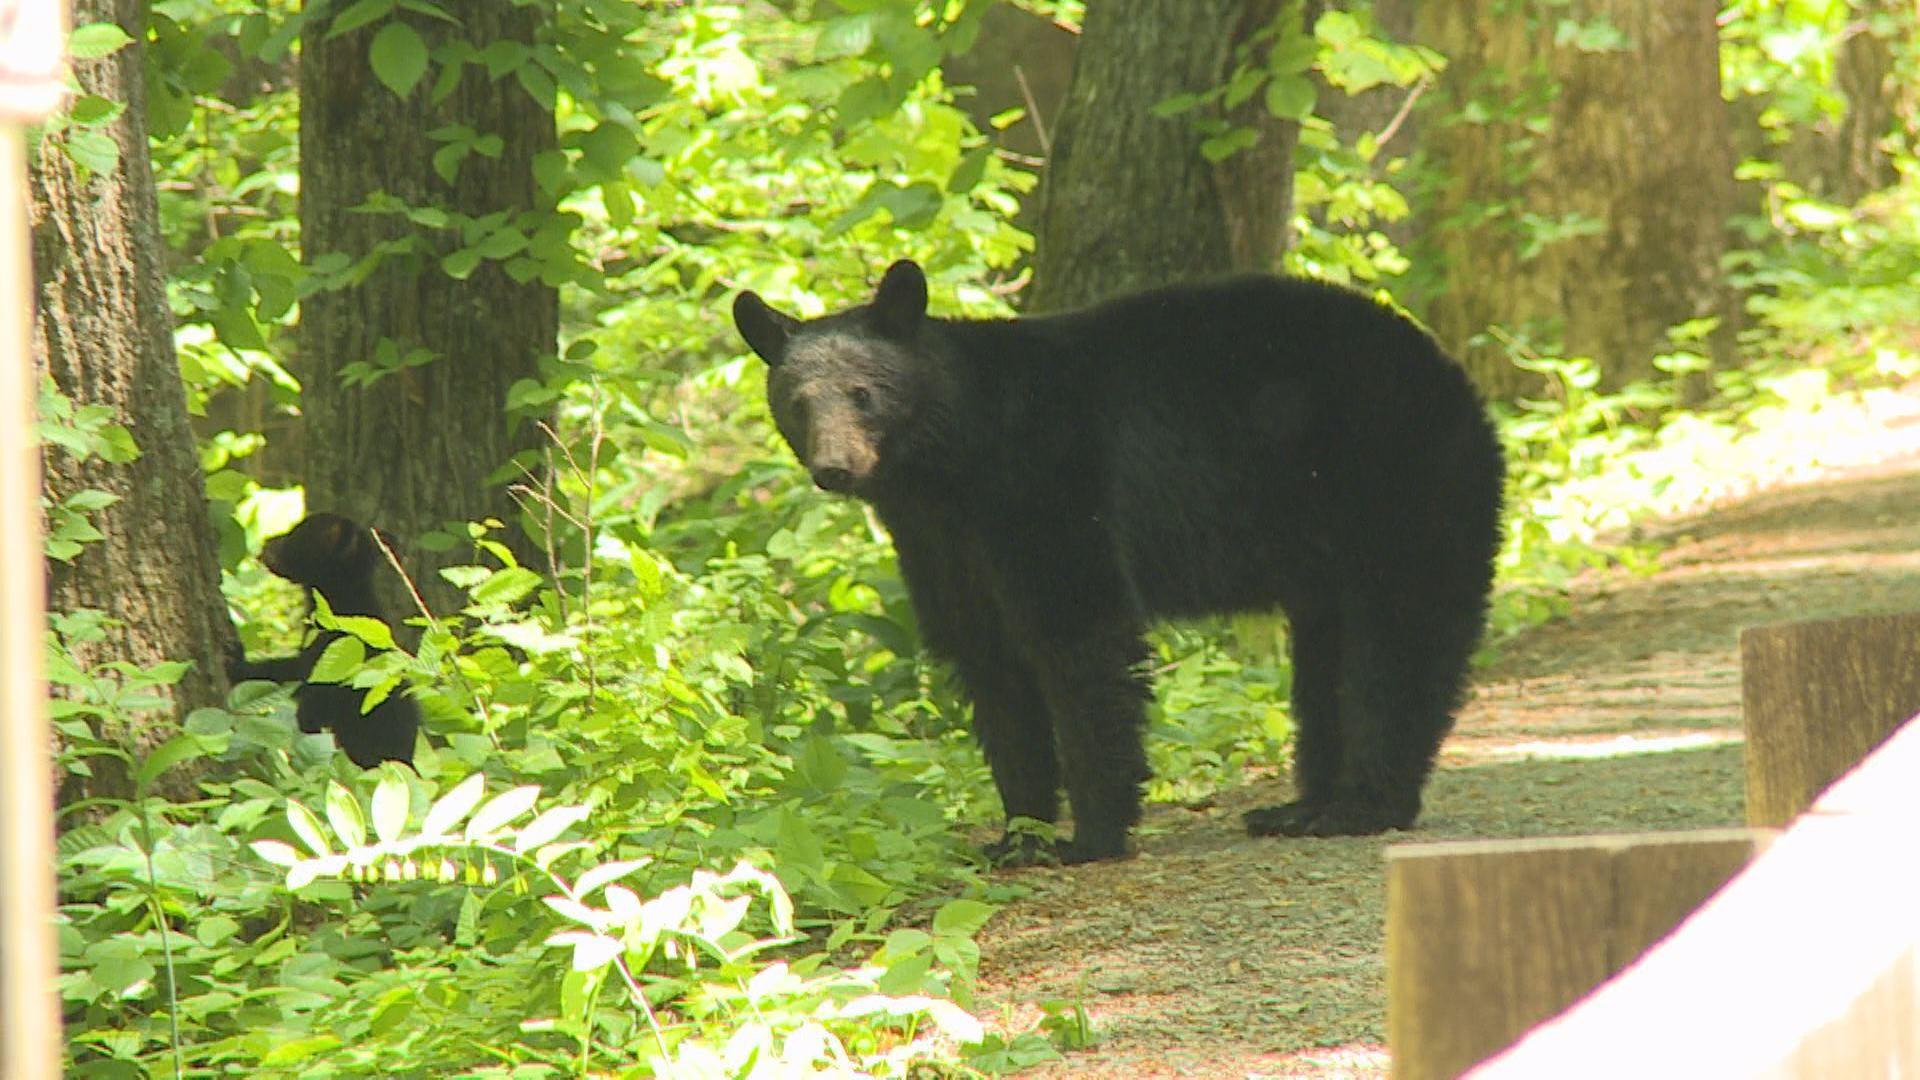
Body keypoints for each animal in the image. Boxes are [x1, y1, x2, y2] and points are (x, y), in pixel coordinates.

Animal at [732, 260, 1504, 864]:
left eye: (864, 393)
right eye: (797, 403)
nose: (835, 468)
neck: (954, 460)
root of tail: (1453, 375)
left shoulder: (1048, 482)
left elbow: (1080, 638)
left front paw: (1091, 835)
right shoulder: (939, 543)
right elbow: (989, 662)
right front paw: (1018, 836)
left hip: (1396, 488)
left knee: (1398, 641)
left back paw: (1362, 805)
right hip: (1329, 555)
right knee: (1326, 659)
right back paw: (1298, 807)